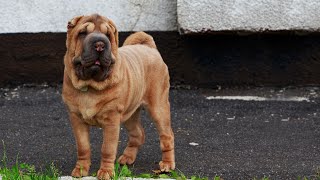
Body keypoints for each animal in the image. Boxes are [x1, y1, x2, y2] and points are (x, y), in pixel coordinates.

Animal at [60, 13, 175, 179]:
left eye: (108, 35)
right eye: (83, 33)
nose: (100, 44)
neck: (91, 85)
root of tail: (149, 48)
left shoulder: (111, 120)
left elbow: (107, 148)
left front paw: (106, 172)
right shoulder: (76, 119)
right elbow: (83, 147)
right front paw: (80, 170)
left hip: (158, 108)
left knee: (167, 136)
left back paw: (167, 164)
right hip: (129, 114)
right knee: (138, 134)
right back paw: (127, 158)